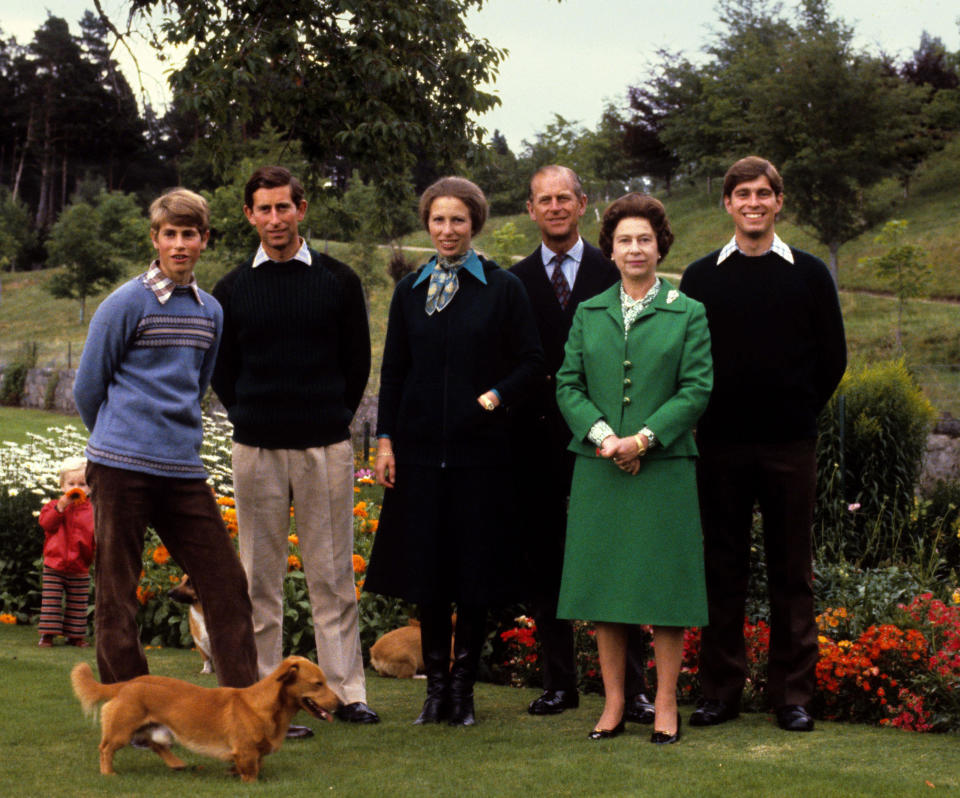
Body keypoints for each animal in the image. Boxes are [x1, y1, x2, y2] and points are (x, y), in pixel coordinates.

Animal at [71, 660, 342, 784]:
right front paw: (250, 782)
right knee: (105, 748)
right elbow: (251, 771)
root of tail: (126, 684)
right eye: (318, 684)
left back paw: (177, 764)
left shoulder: (255, 753)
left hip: (157, 729)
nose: (340, 704)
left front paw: (234, 772)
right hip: (123, 730)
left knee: (156, 745)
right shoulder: (245, 751)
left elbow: (256, 763)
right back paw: (108, 773)